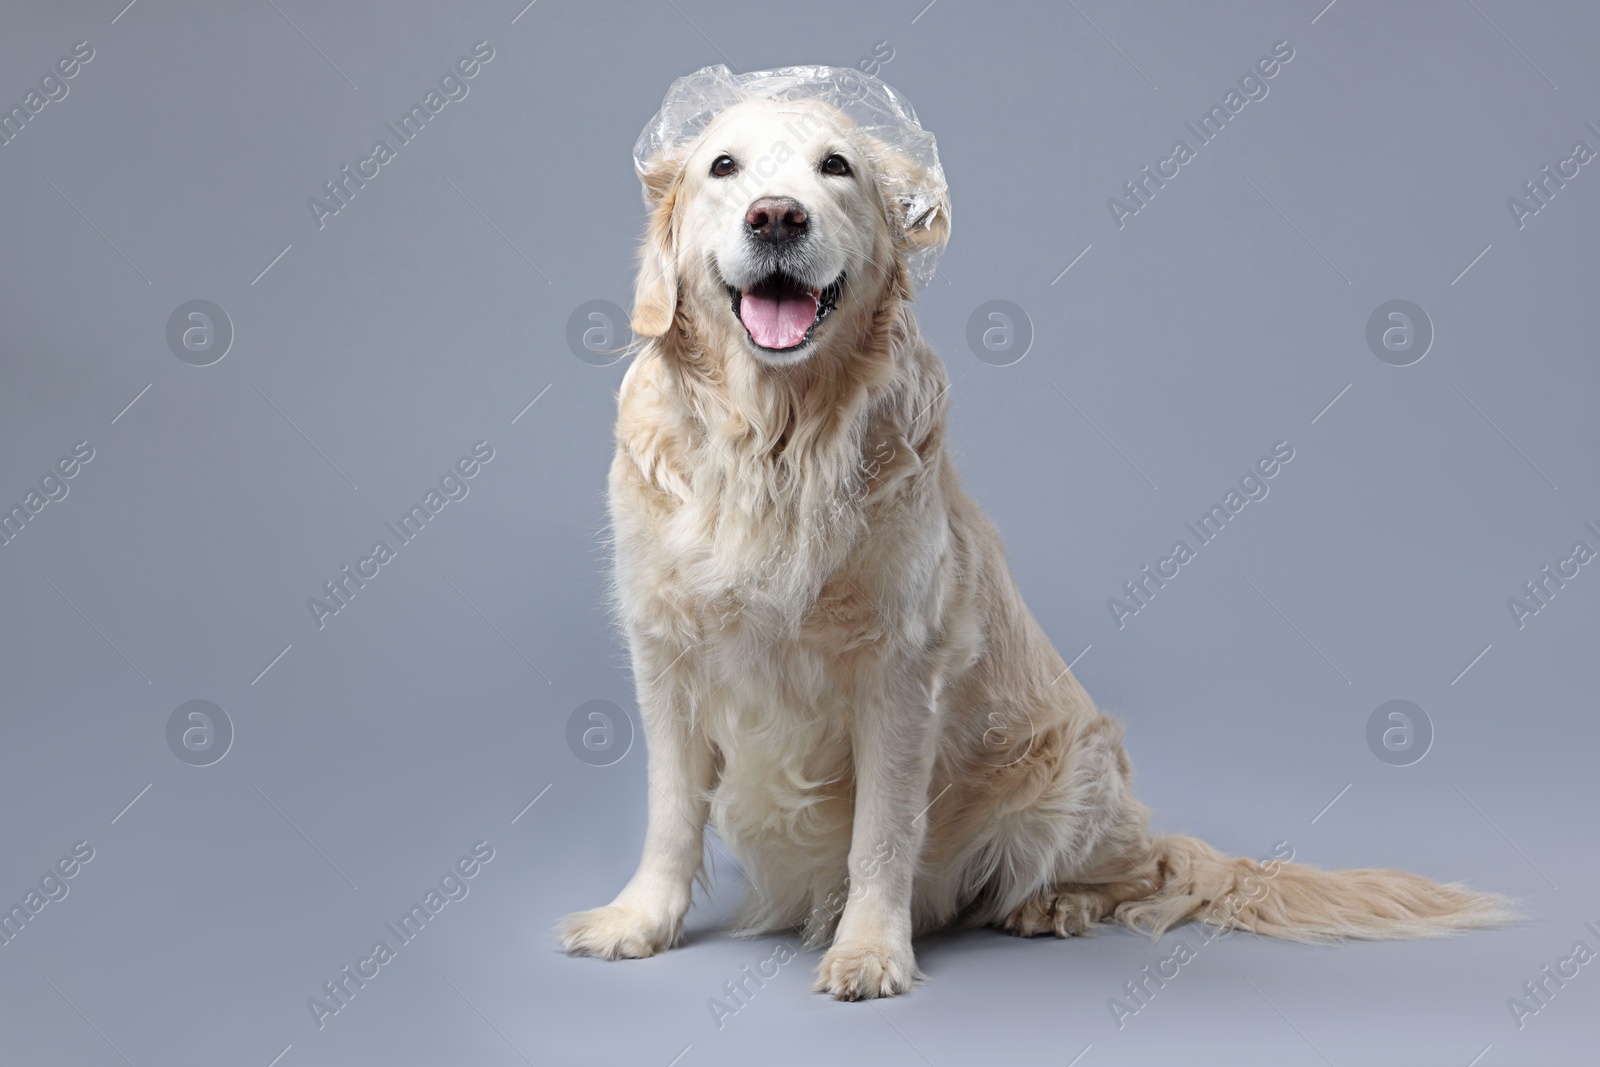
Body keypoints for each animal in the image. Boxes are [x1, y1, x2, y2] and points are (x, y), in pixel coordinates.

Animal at [556, 66, 1516, 1004]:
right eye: (723, 166)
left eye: (837, 167)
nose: (778, 216)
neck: (775, 437)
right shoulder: (665, 655)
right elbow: (672, 814)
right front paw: (640, 919)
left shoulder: (898, 672)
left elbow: (880, 832)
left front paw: (870, 948)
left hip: (1074, 768)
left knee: (1136, 874)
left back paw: (1053, 904)